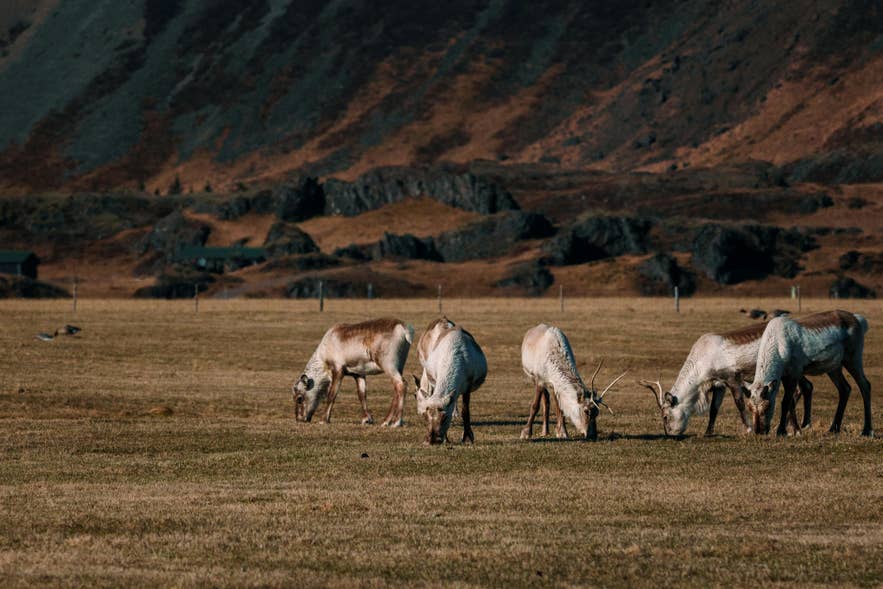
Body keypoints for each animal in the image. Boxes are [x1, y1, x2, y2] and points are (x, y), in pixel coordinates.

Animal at [639, 320, 815, 437]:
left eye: (665, 416)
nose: (670, 434)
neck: (704, 358)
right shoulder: (719, 384)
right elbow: (714, 409)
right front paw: (708, 432)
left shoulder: (733, 379)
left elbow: (739, 403)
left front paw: (749, 429)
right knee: (806, 387)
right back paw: (801, 425)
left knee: (797, 390)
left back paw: (796, 428)